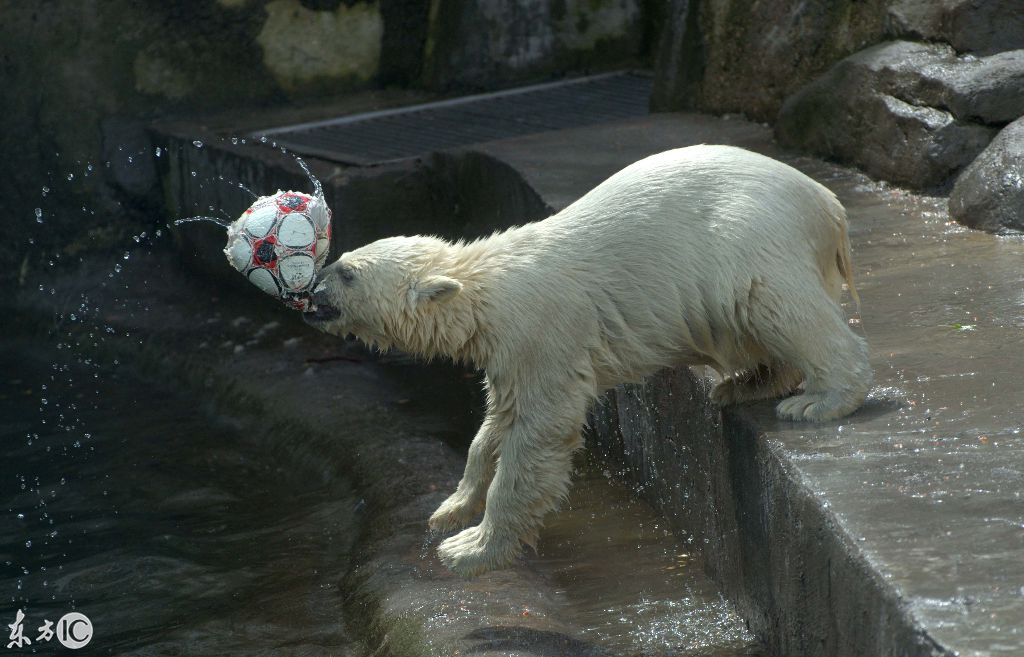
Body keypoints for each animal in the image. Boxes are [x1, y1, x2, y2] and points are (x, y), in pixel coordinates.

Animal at [303, 145, 872, 577]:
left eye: (348, 272)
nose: (313, 287)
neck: (485, 286)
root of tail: (830, 205)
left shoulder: (540, 330)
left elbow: (538, 431)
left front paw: (471, 549)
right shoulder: (509, 350)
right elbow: (497, 422)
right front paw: (451, 508)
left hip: (747, 236)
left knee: (775, 304)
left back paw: (819, 401)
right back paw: (743, 383)